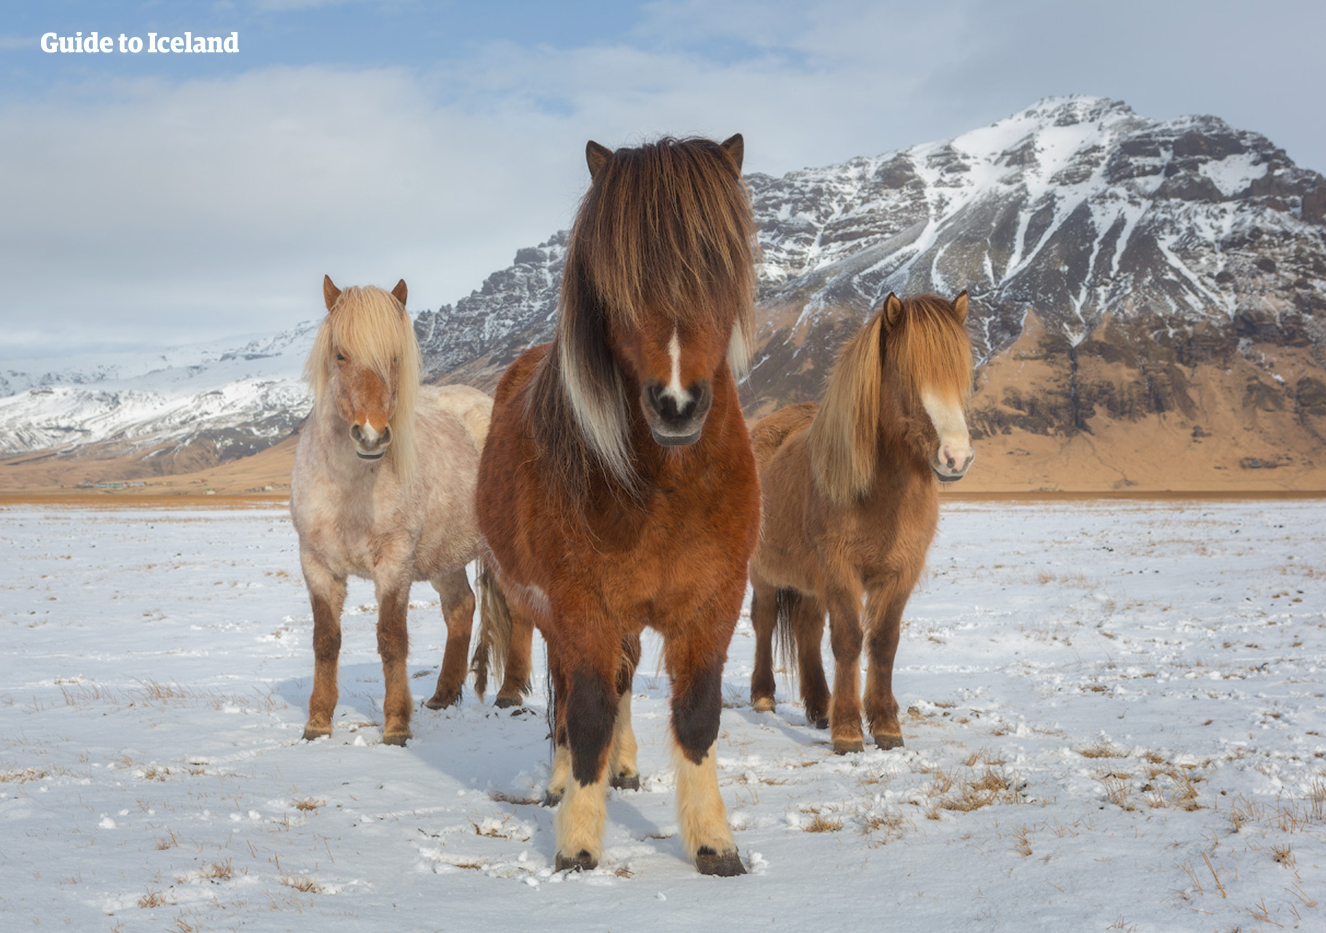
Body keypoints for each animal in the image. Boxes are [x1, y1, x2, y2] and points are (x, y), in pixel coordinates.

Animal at [480, 136, 763, 874]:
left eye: (720, 267)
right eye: (618, 285)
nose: (677, 403)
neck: (665, 488)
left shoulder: (714, 604)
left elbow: (696, 717)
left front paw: (714, 842)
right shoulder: (581, 607)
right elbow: (584, 714)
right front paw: (578, 841)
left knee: (626, 677)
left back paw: (626, 767)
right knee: (572, 694)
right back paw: (561, 783)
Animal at [747, 295, 975, 752]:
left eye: (959, 373)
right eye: (907, 374)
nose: (956, 457)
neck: (880, 495)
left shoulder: (900, 572)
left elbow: (883, 642)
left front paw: (886, 726)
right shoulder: (840, 569)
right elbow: (849, 640)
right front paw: (849, 730)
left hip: (810, 581)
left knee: (807, 627)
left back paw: (820, 706)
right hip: (764, 573)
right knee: (763, 620)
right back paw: (764, 697)